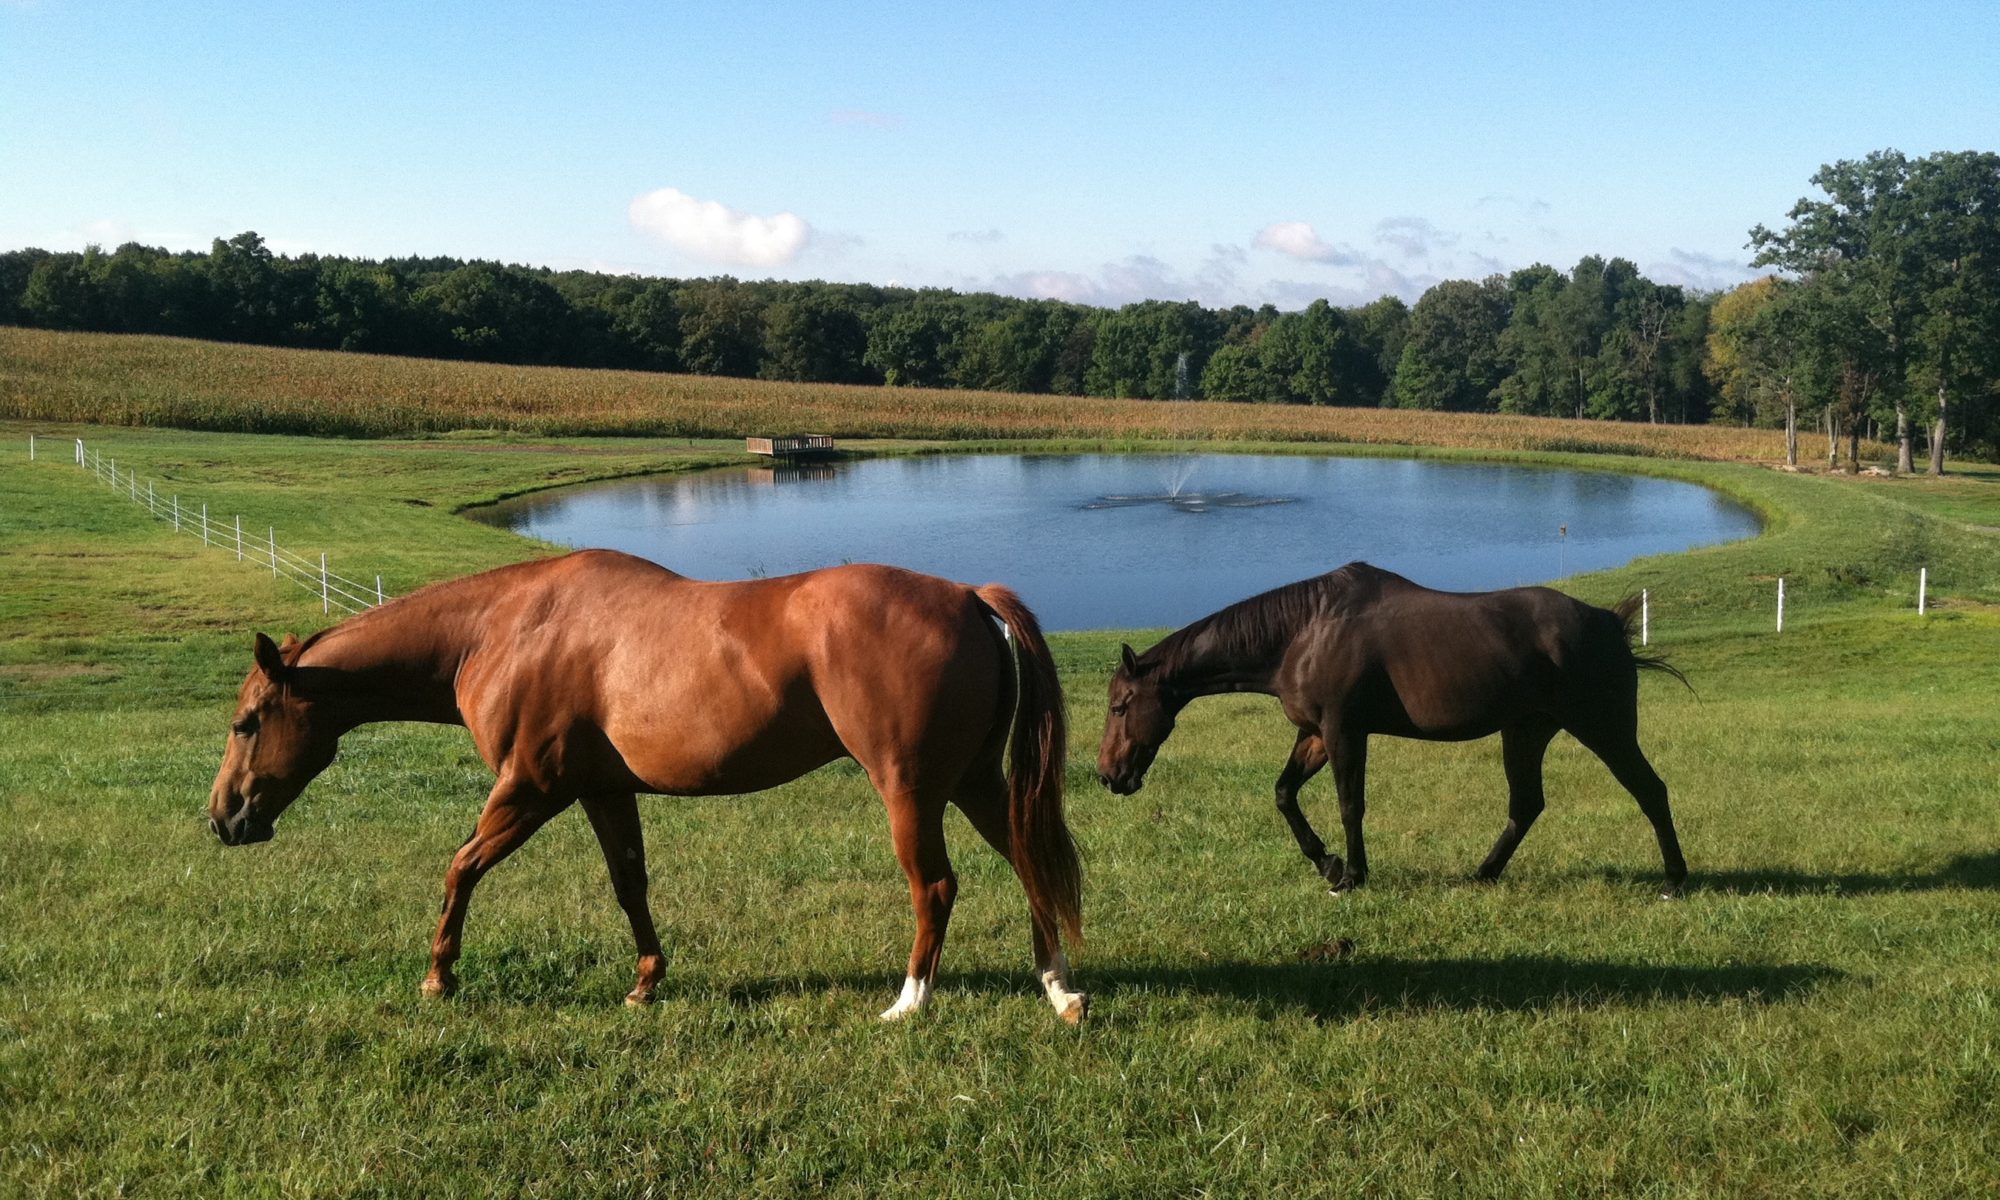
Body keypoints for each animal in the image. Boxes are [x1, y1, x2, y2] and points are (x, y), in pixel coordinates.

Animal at [211, 548, 1088, 1016]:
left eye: (247, 721)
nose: (224, 818)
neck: (501, 628)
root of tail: (968, 597)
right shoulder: (602, 791)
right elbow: (629, 884)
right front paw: (645, 982)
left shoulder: (529, 789)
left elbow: (461, 867)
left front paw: (439, 975)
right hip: (973, 783)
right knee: (1029, 862)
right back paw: (1059, 991)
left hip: (911, 792)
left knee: (935, 886)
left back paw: (910, 1001)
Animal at [1096, 564, 1688, 900]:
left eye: (1121, 707)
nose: (1107, 775)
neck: (1302, 633)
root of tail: (1607, 622)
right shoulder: (1314, 734)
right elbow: (1284, 794)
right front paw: (1328, 864)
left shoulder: (1344, 731)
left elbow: (1349, 804)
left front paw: (1352, 874)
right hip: (1524, 733)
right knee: (1526, 806)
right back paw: (1482, 874)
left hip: (1603, 729)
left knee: (1650, 791)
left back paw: (1674, 880)